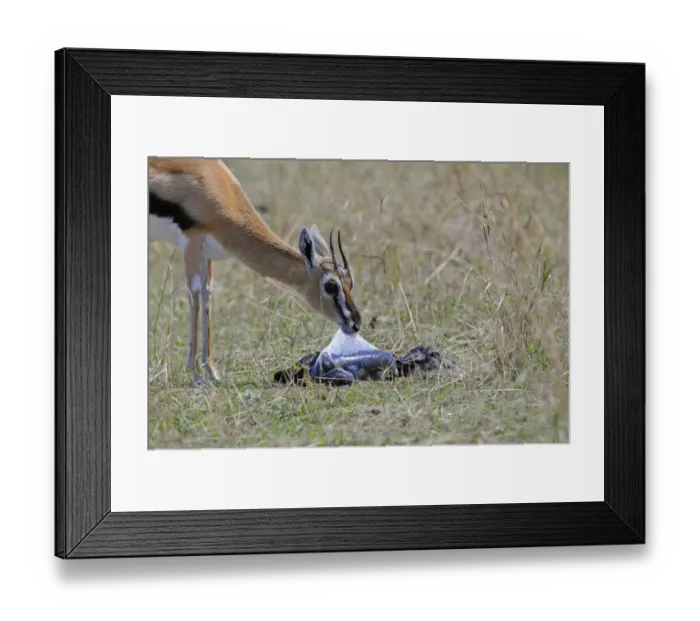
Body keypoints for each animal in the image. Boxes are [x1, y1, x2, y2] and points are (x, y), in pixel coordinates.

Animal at [148, 157, 362, 385]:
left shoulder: (206, 254)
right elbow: (195, 297)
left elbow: (206, 297)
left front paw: (212, 372)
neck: (214, 184)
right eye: (331, 286)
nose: (355, 323)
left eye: (350, 283)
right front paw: (197, 375)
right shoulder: (191, 243)